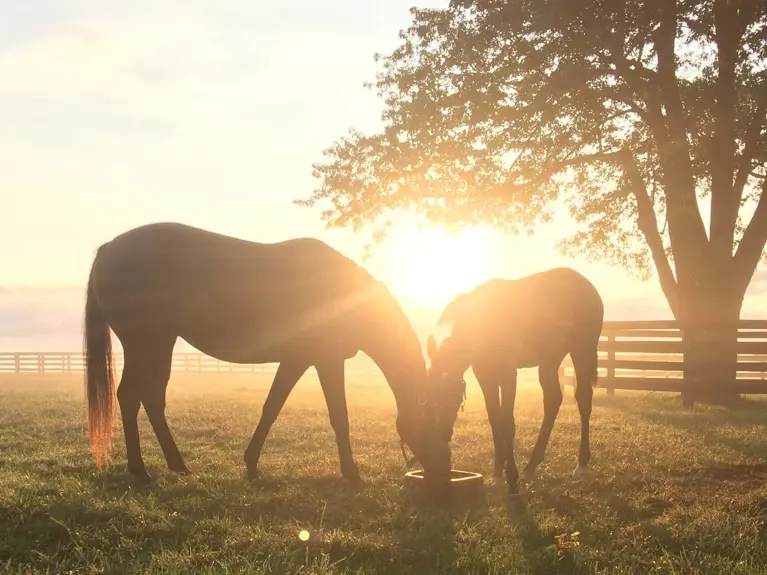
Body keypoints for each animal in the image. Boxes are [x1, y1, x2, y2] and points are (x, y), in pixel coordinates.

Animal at [83, 222, 451, 487]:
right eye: (436, 424)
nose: (444, 473)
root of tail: (110, 249)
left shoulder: (298, 359)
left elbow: (271, 407)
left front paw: (251, 465)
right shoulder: (326, 360)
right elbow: (338, 416)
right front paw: (352, 473)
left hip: (157, 345)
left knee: (149, 398)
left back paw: (176, 466)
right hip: (147, 343)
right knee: (132, 397)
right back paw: (142, 471)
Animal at [425, 267, 604, 496]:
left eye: (452, 396)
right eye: (429, 396)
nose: (441, 434)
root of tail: (585, 283)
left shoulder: (508, 372)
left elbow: (507, 421)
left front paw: (511, 477)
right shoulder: (485, 374)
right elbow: (494, 417)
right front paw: (498, 469)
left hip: (582, 350)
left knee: (583, 399)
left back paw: (581, 464)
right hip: (550, 359)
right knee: (553, 399)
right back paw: (532, 464)